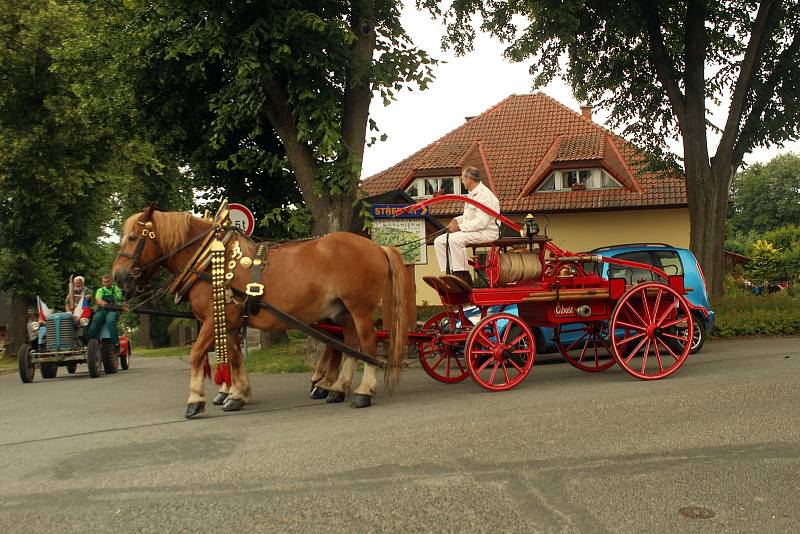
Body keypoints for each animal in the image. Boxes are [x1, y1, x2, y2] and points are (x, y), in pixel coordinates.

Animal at [111, 207, 412, 420]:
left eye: (133, 238)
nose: (118, 277)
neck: (209, 261)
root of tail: (376, 246)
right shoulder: (230, 321)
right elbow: (233, 358)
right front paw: (236, 394)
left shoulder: (215, 319)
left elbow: (198, 354)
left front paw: (196, 400)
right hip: (341, 312)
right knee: (347, 346)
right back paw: (336, 388)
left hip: (359, 308)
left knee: (366, 346)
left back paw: (362, 392)